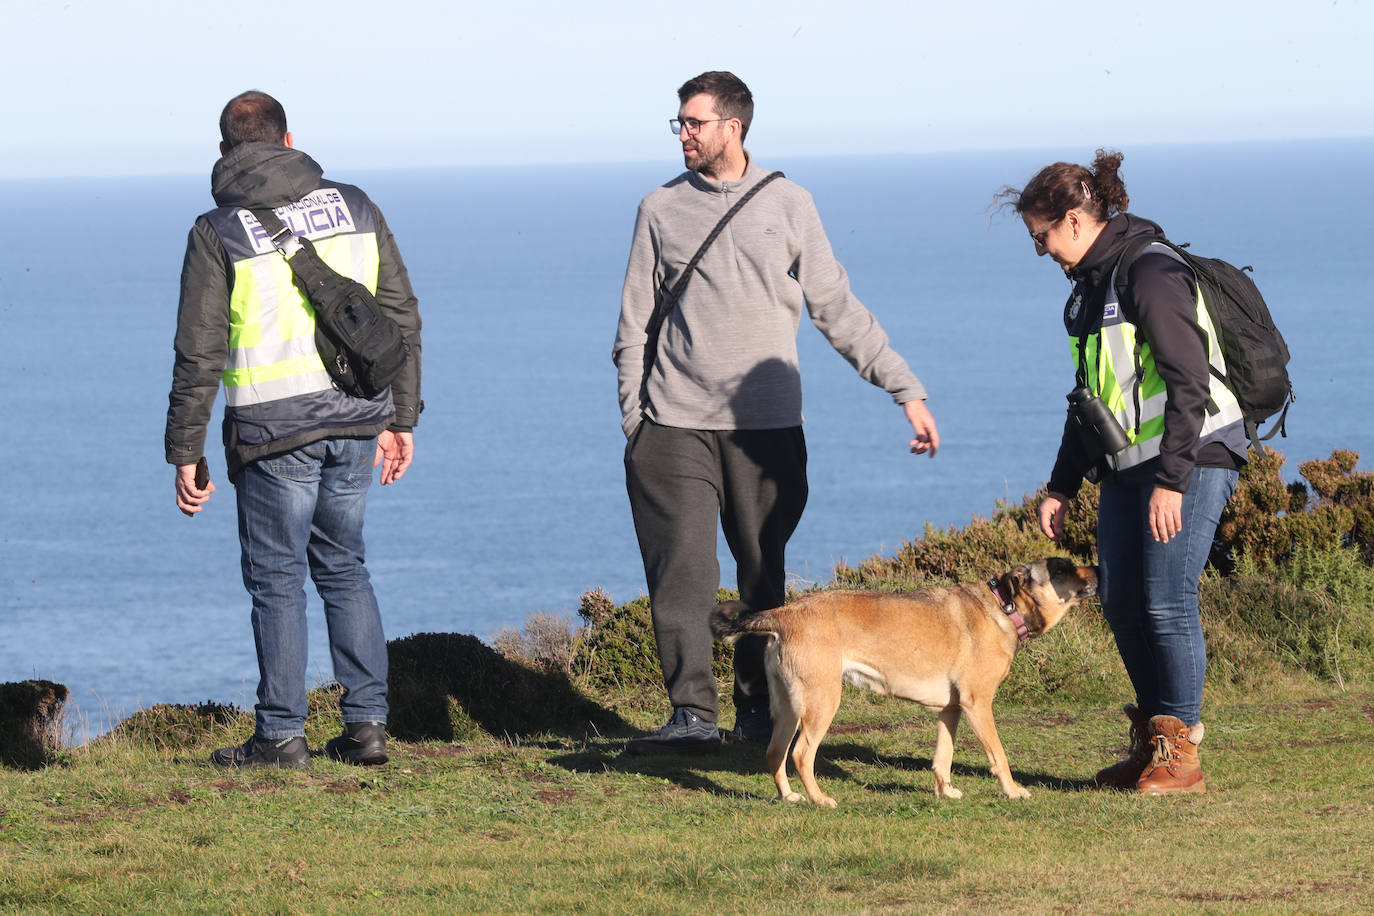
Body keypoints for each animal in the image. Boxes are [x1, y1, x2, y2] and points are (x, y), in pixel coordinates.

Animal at [714, 554, 1099, 807]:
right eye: (1061, 569)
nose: (1097, 567)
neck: (1006, 606)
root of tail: (784, 613)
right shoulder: (978, 705)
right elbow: (999, 755)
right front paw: (1012, 791)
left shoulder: (951, 710)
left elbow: (943, 756)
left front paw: (945, 791)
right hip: (822, 702)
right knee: (800, 755)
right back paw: (819, 799)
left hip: (789, 709)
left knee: (774, 752)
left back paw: (790, 796)